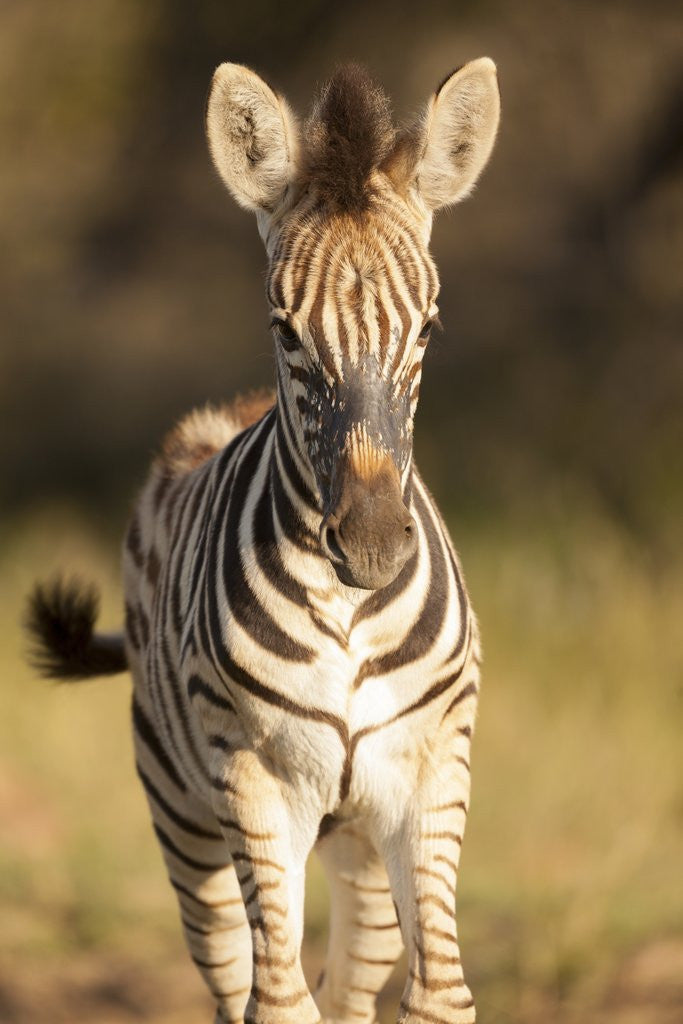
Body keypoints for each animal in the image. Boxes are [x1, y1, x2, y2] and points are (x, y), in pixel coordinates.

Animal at [27, 59, 500, 1024]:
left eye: (429, 326)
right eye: (284, 329)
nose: (370, 548)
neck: (350, 614)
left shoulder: (431, 771)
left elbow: (438, 994)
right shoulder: (252, 777)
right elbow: (276, 1001)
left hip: (358, 843)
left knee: (353, 978)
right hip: (184, 820)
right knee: (236, 975)